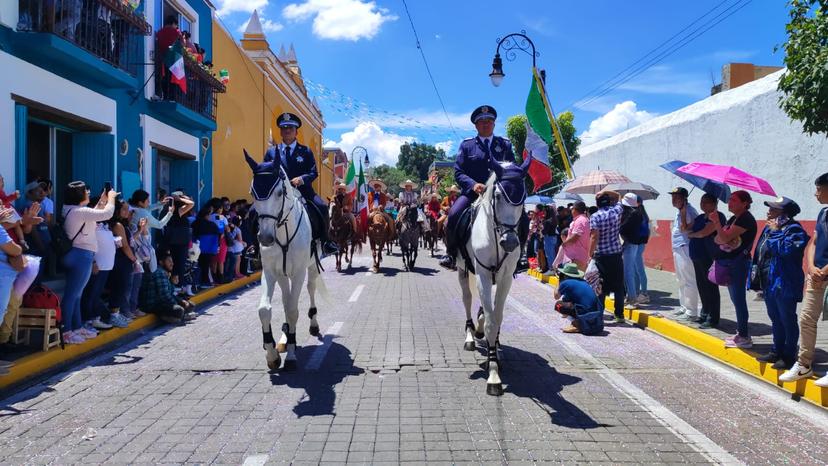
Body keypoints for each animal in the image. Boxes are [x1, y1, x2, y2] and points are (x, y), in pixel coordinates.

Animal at [244, 149, 326, 372]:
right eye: (253, 192)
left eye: (280, 193)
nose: (265, 238)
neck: (282, 232)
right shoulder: (271, 272)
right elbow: (265, 310)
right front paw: (272, 352)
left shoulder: (298, 272)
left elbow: (292, 310)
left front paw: (290, 354)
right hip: (283, 275)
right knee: (286, 298)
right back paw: (284, 337)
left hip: (312, 267)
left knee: (310, 289)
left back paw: (312, 324)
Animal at [456, 155, 528, 396]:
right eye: (497, 195)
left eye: (523, 197)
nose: (511, 242)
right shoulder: (483, 274)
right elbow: (490, 321)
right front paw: (494, 375)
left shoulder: (504, 278)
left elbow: (497, 317)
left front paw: (494, 351)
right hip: (463, 269)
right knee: (467, 299)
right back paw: (471, 335)